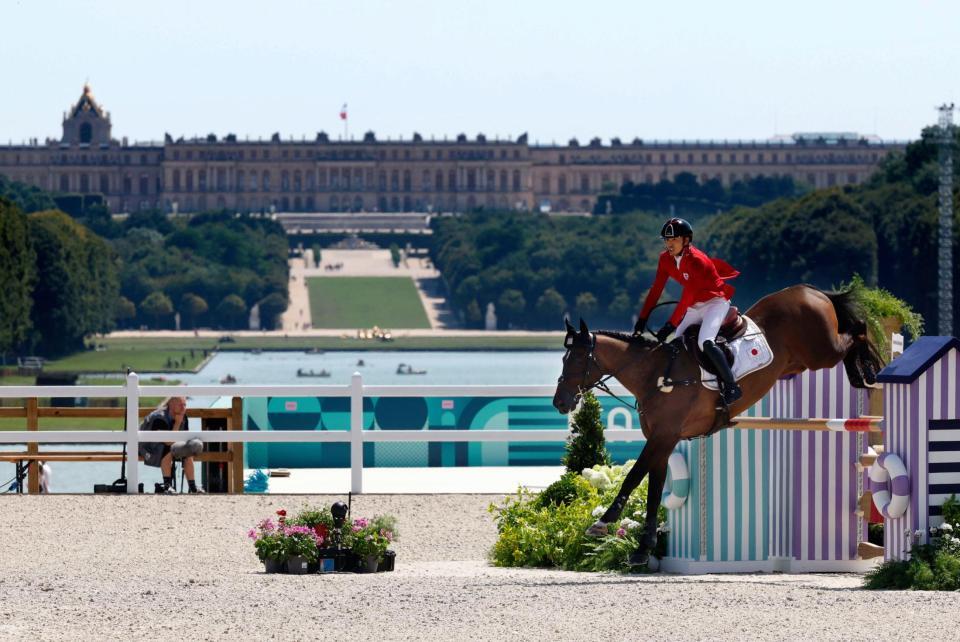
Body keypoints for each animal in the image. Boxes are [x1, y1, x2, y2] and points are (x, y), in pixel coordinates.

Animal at [552, 282, 880, 564]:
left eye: (576, 360)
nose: (560, 403)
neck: (655, 376)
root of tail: (811, 291)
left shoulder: (664, 436)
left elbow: (634, 477)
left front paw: (602, 523)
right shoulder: (663, 440)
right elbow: (655, 489)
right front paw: (643, 550)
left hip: (822, 351)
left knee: (857, 331)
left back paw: (866, 370)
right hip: (802, 361)